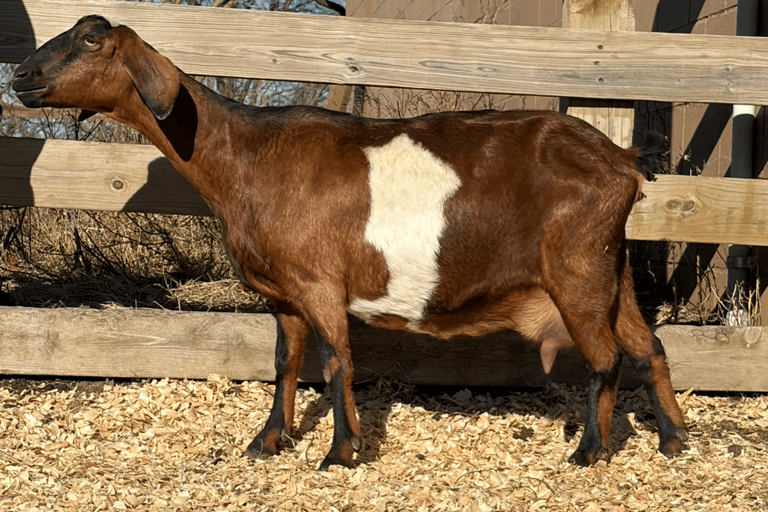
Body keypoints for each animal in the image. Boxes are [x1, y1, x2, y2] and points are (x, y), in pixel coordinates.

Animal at [12, 16, 687, 470]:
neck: (247, 157)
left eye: (91, 40)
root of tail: (621, 160)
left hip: (577, 269)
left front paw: (341, 451)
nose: (21, 74)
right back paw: (674, 440)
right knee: (648, 345)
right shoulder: (283, 293)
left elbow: (337, 361)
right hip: (611, 269)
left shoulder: (318, 282)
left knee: (605, 358)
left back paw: (590, 452)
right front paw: (267, 442)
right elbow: (285, 362)